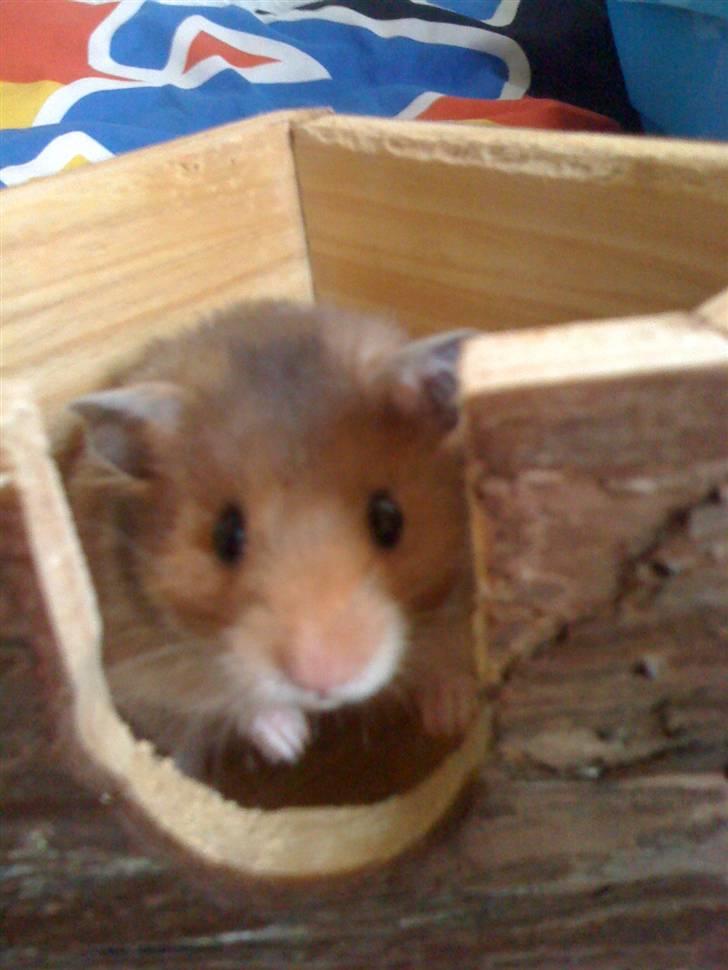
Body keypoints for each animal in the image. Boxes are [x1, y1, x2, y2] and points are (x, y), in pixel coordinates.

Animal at [60, 301, 479, 775]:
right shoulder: (145, 668)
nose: (324, 682)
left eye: (389, 519)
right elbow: (231, 697)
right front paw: (290, 743)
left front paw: (453, 718)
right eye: (225, 536)